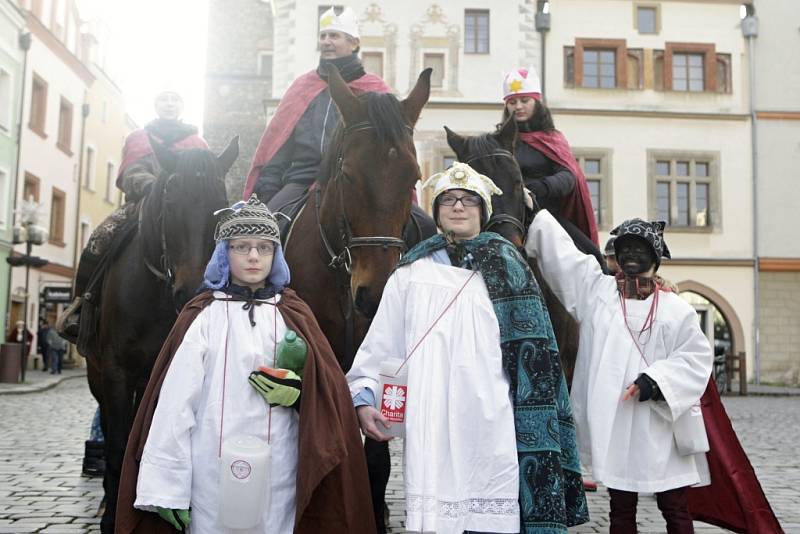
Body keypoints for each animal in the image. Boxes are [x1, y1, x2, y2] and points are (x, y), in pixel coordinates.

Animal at [87, 140, 239, 532]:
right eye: (170, 200)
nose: (192, 290)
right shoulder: (116, 373)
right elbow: (119, 443)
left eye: (220, 203)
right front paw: (112, 517)